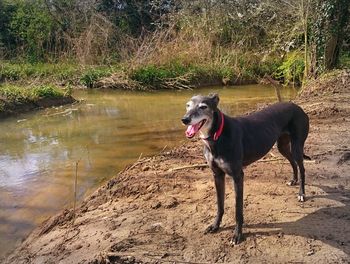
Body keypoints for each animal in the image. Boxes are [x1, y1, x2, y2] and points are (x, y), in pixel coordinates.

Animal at [182, 94, 310, 244]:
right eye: (187, 105)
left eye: (203, 106)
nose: (185, 119)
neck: (218, 135)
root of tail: (298, 107)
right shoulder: (217, 175)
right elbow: (220, 205)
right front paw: (215, 225)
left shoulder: (237, 176)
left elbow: (238, 210)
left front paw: (237, 234)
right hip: (282, 146)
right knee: (292, 162)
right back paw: (293, 180)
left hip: (297, 146)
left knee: (302, 168)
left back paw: (301, 193)